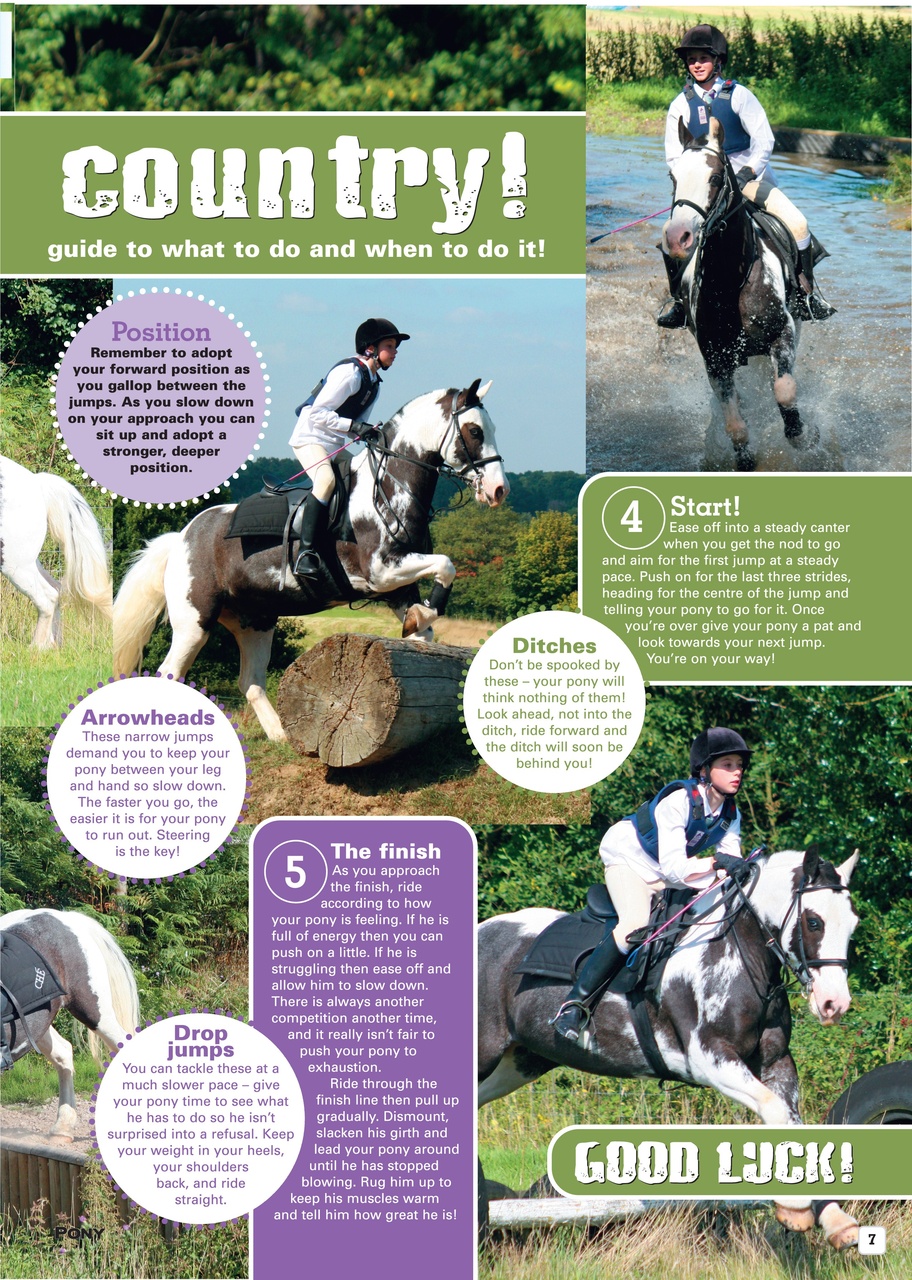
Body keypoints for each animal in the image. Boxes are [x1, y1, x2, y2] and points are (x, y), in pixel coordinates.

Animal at [0, 455, 113, 648]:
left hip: (14, 564)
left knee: (47, 598)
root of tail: (36, 483)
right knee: (56, 589)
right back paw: (52, 644)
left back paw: (36, 648)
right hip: (28, 561)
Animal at [113, 379, 508, 742]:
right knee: (170, 672)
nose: (498, 490)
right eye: (475, 431)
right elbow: (446, 564)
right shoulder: (382, 570)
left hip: (255, 621)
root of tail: (183, 536)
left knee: (250, 681)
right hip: (195, 621)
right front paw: (425, 614)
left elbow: (424, 627)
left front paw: (419, 620)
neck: (390, 486)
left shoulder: (398, 587)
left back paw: (282, 737)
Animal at [478, 847, 861, 1249]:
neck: (740, 954)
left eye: (853, 924)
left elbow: (794, 1124)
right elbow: (776, 1112)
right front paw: (796, 1208)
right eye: (814, 921)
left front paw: (835, 1220)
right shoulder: (710, 1058)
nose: (834, 1004)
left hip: (518, 1064)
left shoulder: (776, 1062)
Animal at [662, 117, 819, 471]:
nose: (678, 237)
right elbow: (735, 424)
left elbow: (784, 390)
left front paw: (804, 437)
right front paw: (745, 458)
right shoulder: (716, 359)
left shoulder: (782, 334)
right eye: (673, 177)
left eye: (715, 177)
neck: (730, 280)